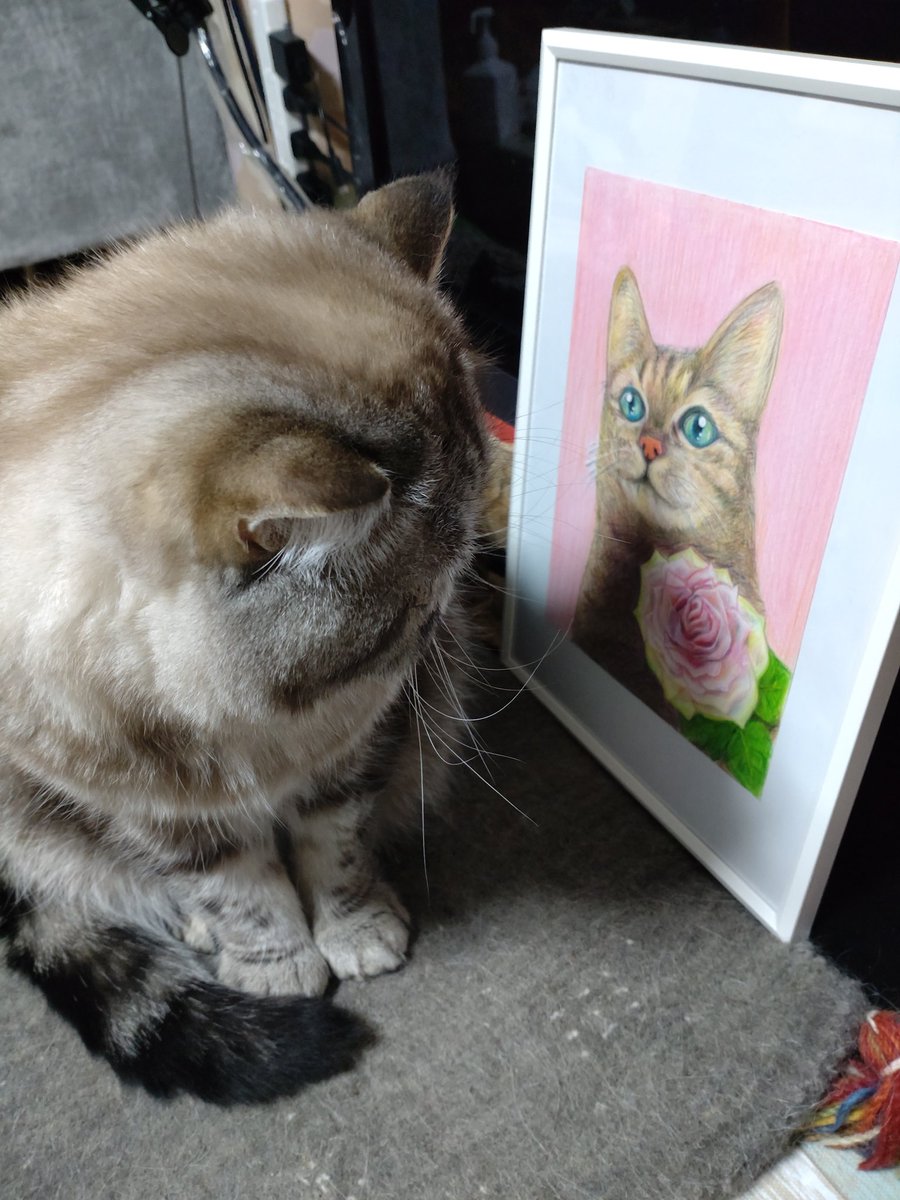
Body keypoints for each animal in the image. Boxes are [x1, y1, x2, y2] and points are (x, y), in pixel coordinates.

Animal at [0, 173, 489, 1104]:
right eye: (411, 618)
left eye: (455, 589)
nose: (437, 640)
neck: (253, 728)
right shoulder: (154, 813)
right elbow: (237, 889)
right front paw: (273, 963)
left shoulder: (355, 750)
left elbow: (337, 849)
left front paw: (356, 930)